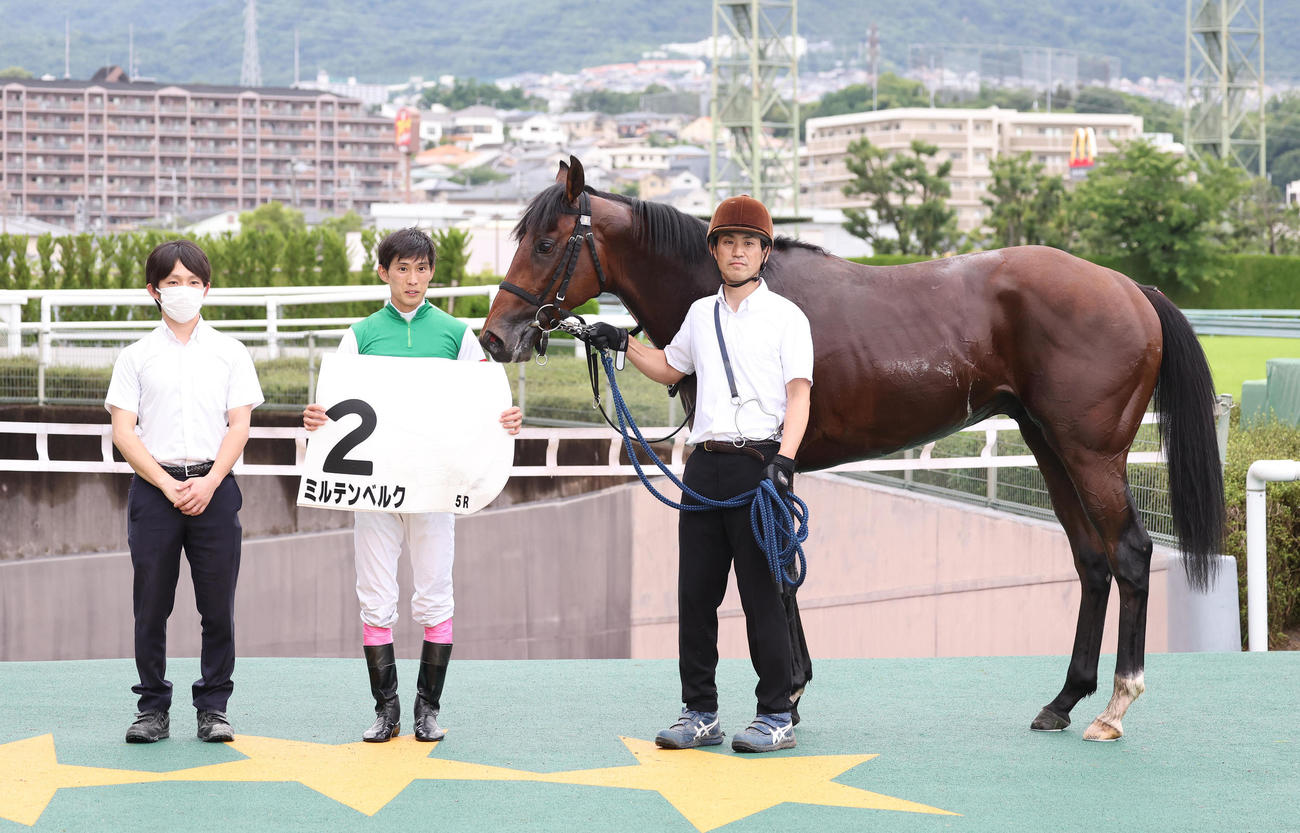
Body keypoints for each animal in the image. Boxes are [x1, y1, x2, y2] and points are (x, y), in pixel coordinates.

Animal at [479, 156, 1225, 742]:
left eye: (545, 243)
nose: (495, 337)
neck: (741, 294)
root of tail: (1130, 288)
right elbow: (782, 573)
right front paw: (793, 689)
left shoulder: (772, 468)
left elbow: (778, 572)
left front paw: (786, 696)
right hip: (1048, 444)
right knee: (1091, 560)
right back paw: (1063, 699)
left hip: (1090, 452)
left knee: (1129, 554)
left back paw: (1115, 706)